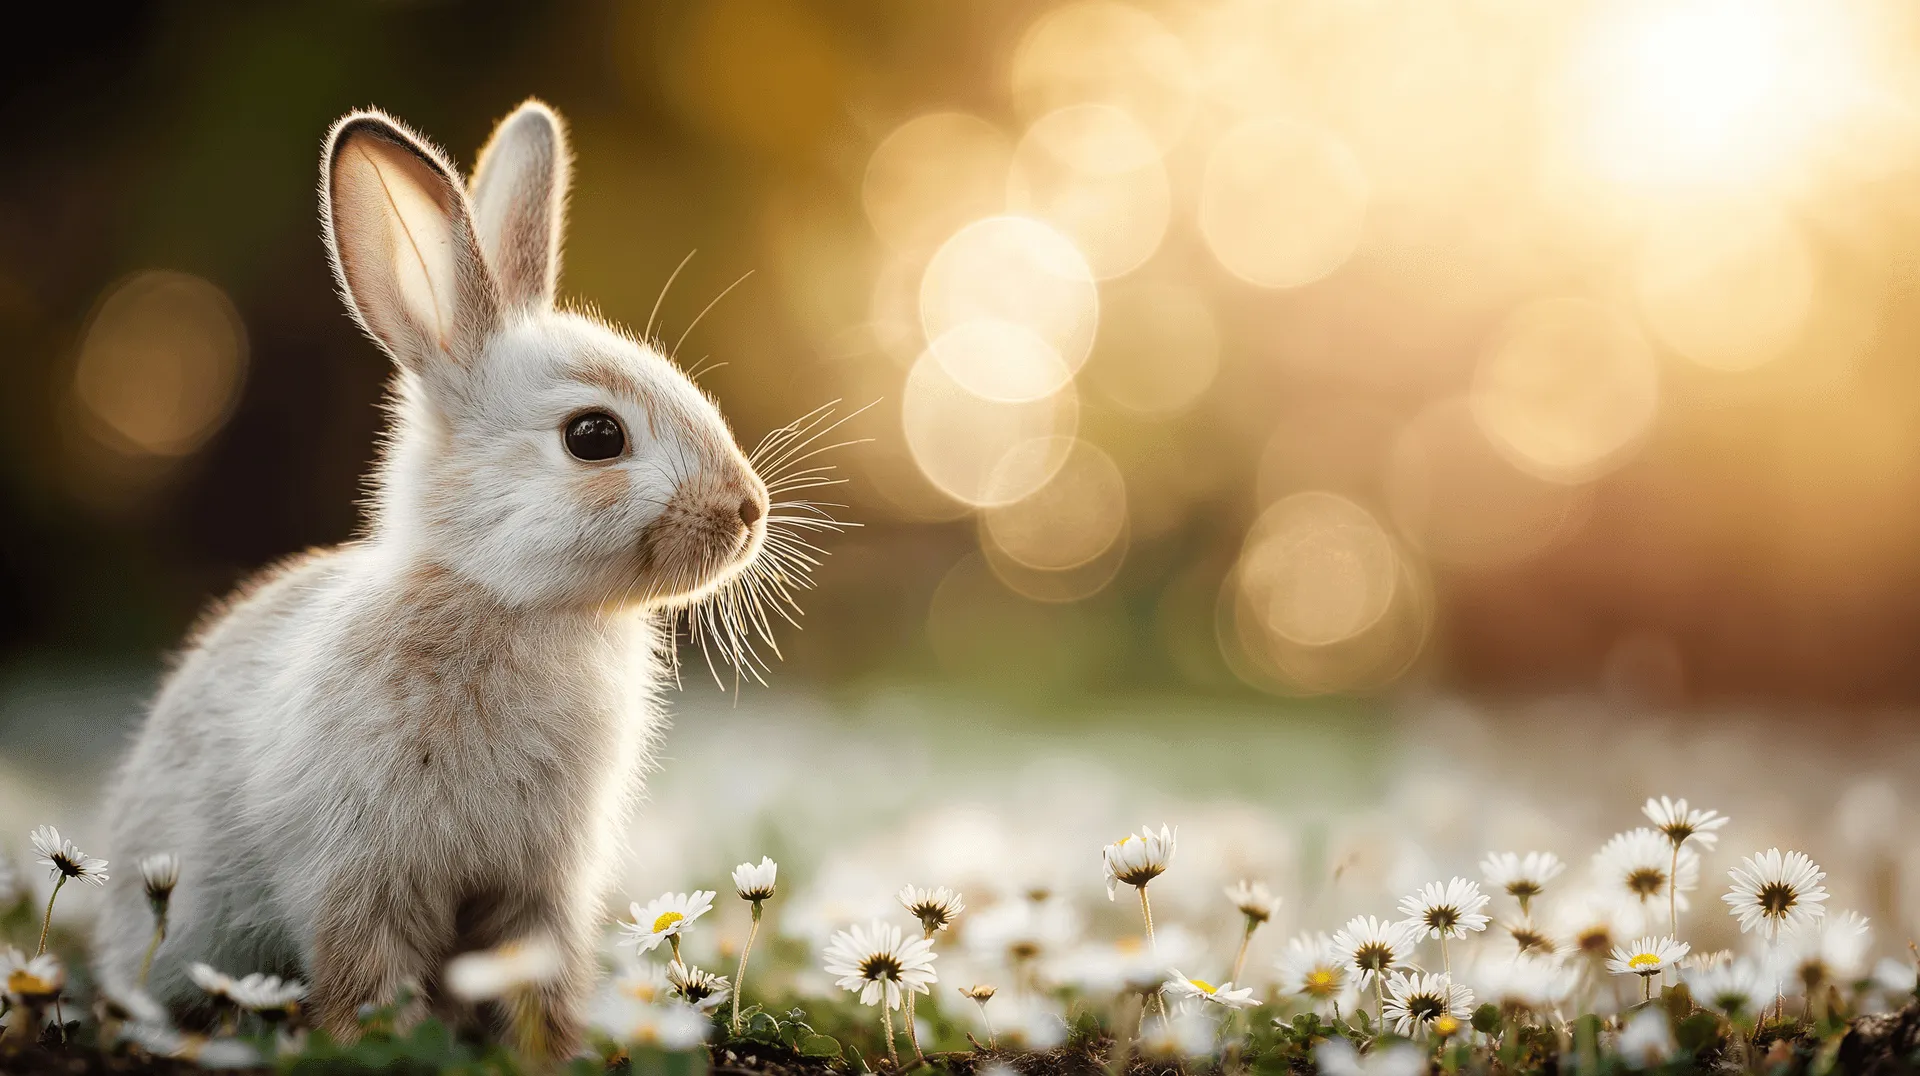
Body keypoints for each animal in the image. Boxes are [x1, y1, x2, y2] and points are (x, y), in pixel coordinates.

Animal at [94, 100, 774, 1053]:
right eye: (594, 436)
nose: (749, 510)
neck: (505, 598)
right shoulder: (361, 874)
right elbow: (366, 983)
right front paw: (382, 1045)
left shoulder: (541, 889)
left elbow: (540, 986)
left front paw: (545, 1058)